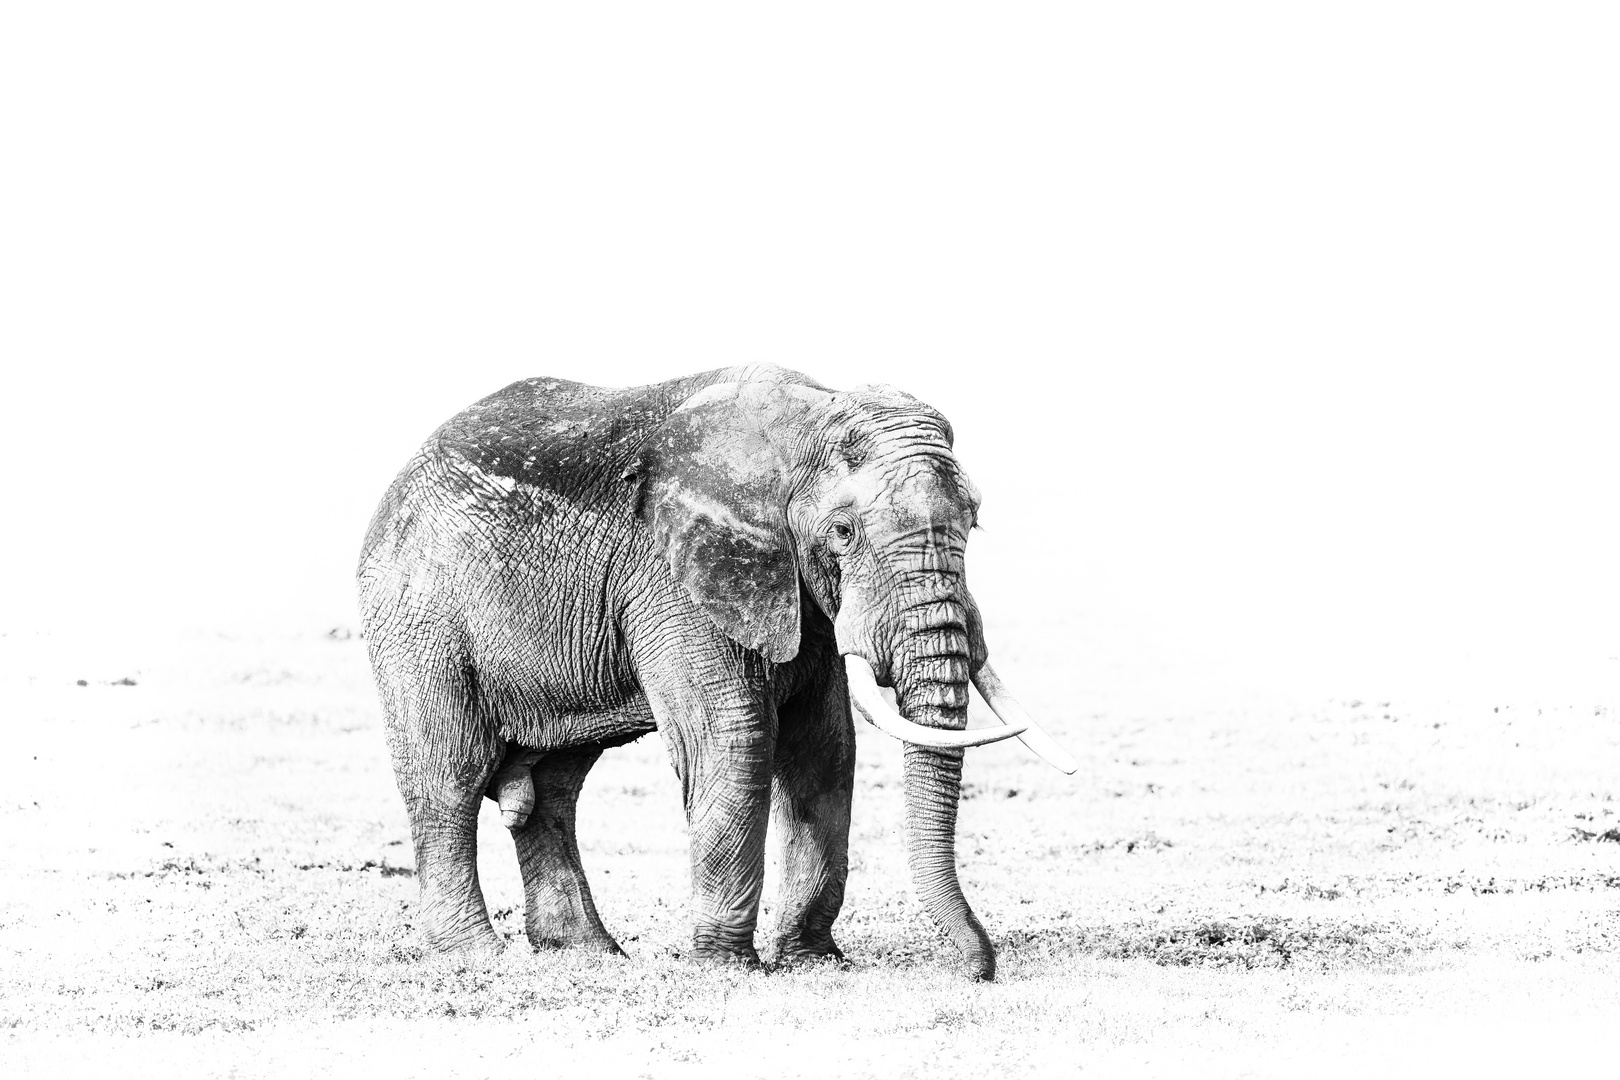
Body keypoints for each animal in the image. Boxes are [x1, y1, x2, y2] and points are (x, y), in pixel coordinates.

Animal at [356, 362, 1069, 977]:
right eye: (842, 533)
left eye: (974, 521)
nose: (976, 970)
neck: (806, 420)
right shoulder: (675, 579)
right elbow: (736, 737)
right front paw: (727, 968)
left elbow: (826, 745)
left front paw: (812, 963)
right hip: (416, 618)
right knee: (448, 777)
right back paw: (476, 955)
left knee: (556, 788)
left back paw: (590, 954)